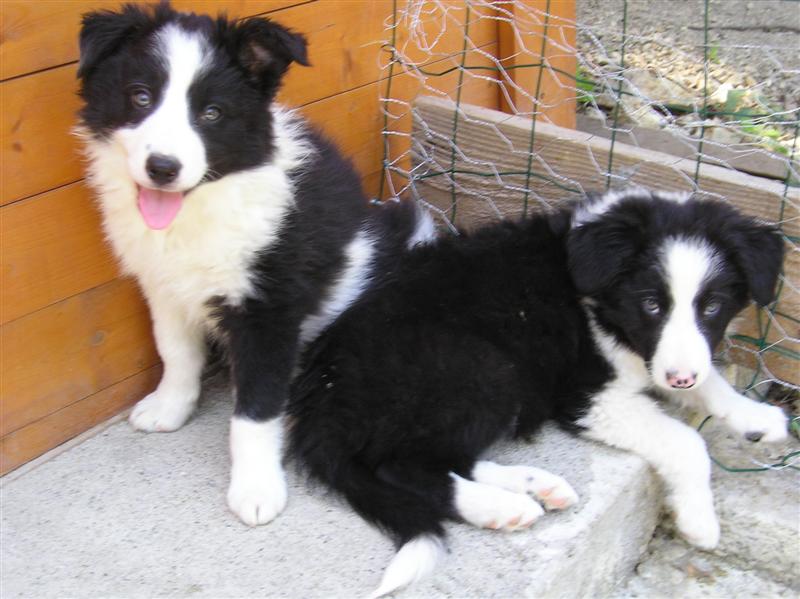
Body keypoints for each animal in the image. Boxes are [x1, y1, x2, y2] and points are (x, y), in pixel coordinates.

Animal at [75, 3, 434, 526]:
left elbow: (256, 408)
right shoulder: (164, 284)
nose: (163, 168)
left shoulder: (269, 309)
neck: (206, 201)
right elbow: (175, 351)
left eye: (211, 113)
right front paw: (170, 406)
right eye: (140, 97)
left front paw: (257, 488)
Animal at [287, 189, 789, 597]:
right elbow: (685, 441)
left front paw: (755, 417)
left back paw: (535, 486)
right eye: (651, 304)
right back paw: (498, 506)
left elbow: (712, 381)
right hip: (486, 370)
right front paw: (699, 519)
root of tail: (322, 399)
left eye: (712, 307)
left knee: (444, 458)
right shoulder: (587, 396)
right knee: (403, 465)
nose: (679, 379)